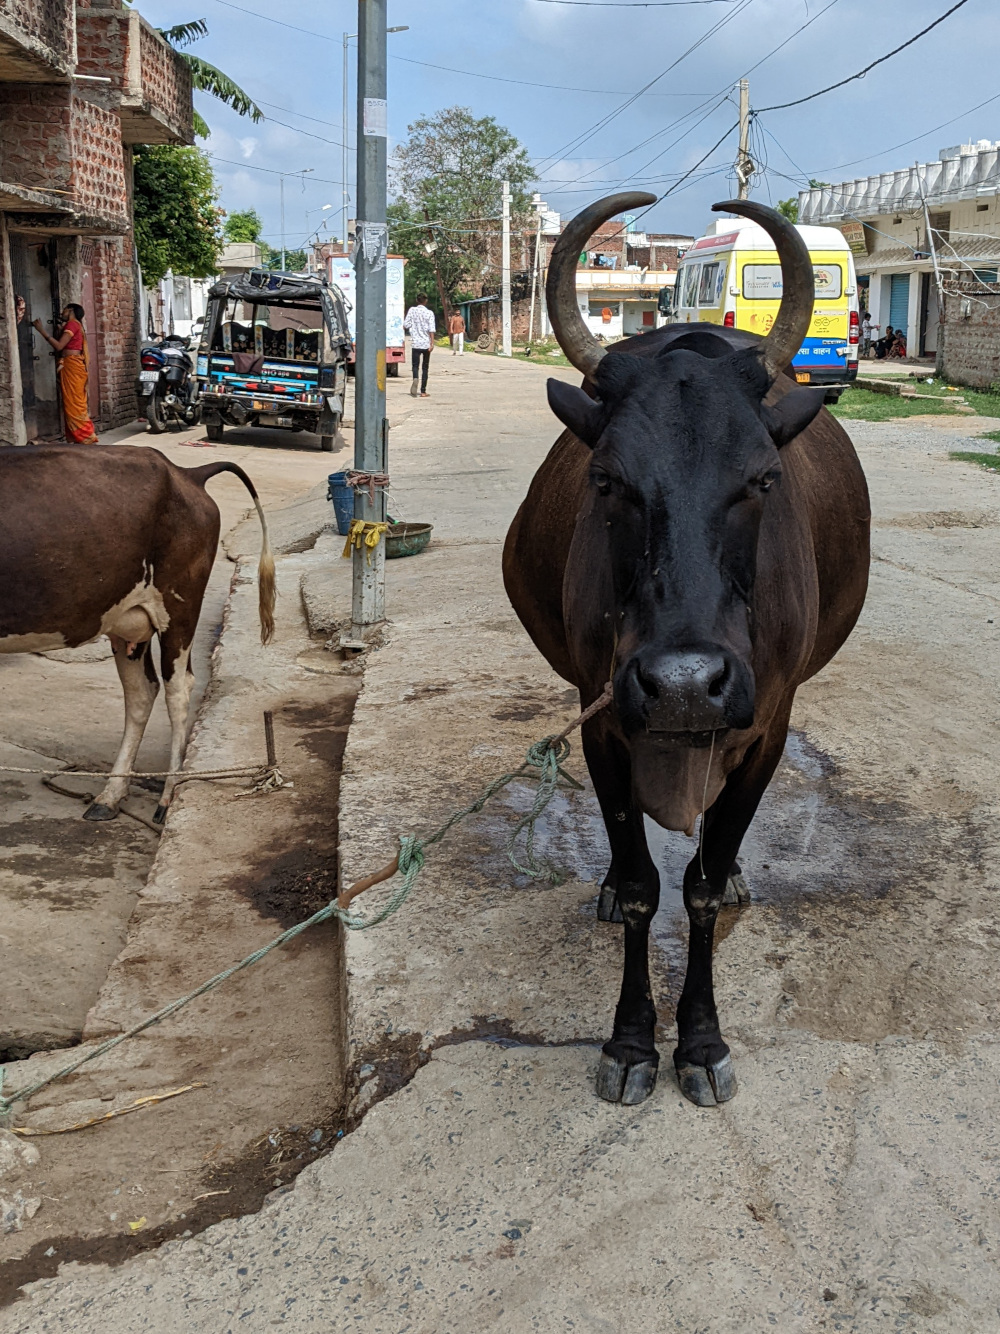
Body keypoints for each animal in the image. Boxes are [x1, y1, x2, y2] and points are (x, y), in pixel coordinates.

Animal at [0, 446, 275, 824]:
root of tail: (185, 473)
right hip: (126, 620)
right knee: (142, 692)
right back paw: (110, 795)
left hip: (179, 605)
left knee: (178, 689)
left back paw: (167, 796)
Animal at [503, 194, 870, 1108]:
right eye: (607, 480)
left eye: (763, 478)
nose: (681, 686)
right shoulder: (602, 722)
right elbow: (644, 888)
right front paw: (634, 1040)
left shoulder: (767, 727)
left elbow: (699, 888)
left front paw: (700, 1040)